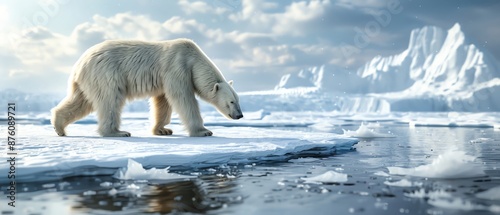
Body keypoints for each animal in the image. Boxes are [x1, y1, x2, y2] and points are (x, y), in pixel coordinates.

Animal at [51, 38, 243, 136]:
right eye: (231, 102)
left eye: (238, 100)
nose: (240, 115)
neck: (192, 59)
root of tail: (79, 64)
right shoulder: (177, 69)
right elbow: (183, 99)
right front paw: (204, 131)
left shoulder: (165, 79)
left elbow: (163, 102)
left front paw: (163, 130)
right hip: (107, 73)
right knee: (110, 100)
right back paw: (118, 132)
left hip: (89, 80)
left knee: (81, 102)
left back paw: (59, 127)